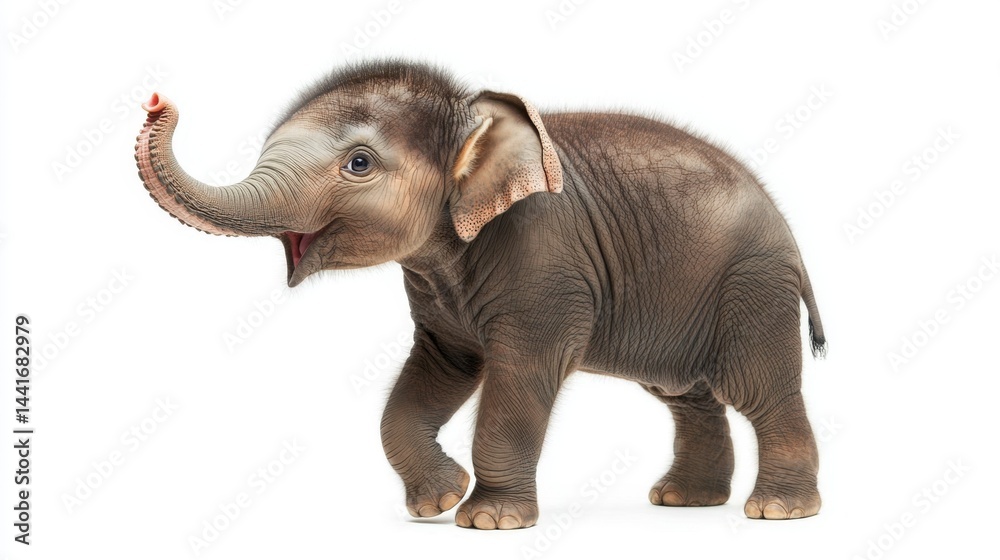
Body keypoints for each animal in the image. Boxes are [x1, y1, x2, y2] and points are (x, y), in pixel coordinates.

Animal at [135, 60, 826, 530]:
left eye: (358, 164)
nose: (156, 98)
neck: (474, 117)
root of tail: (792, 237)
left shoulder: (545, 261)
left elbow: (524, 373)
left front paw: (488, 520)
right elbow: (441, 369)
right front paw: (439, 500)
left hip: (753, 286)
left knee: (757, 387)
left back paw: (778, 511)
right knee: (688, 394)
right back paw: (684, 502)